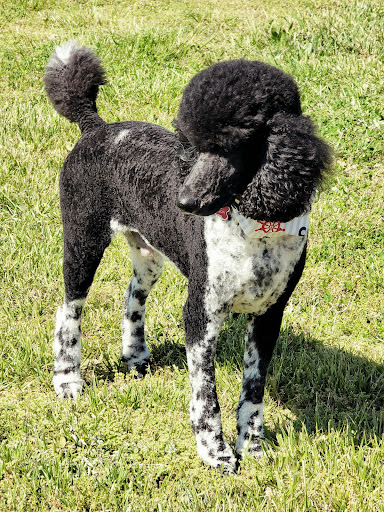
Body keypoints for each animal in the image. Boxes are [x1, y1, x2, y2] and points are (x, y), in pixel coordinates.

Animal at [45, 42, 332, 474]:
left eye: (231, 145)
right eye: (193, 142)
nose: (184, 202)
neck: (254, 228)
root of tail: (96, 127)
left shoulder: (269, 314)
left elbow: (253, 389)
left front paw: (253, 445)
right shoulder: (202, 312)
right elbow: (205, 393)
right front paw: (216, 451)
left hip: (148, 252)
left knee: (133, 295)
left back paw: (135, 355)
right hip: (83, 240)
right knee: (68, 311)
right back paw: (67, 380)